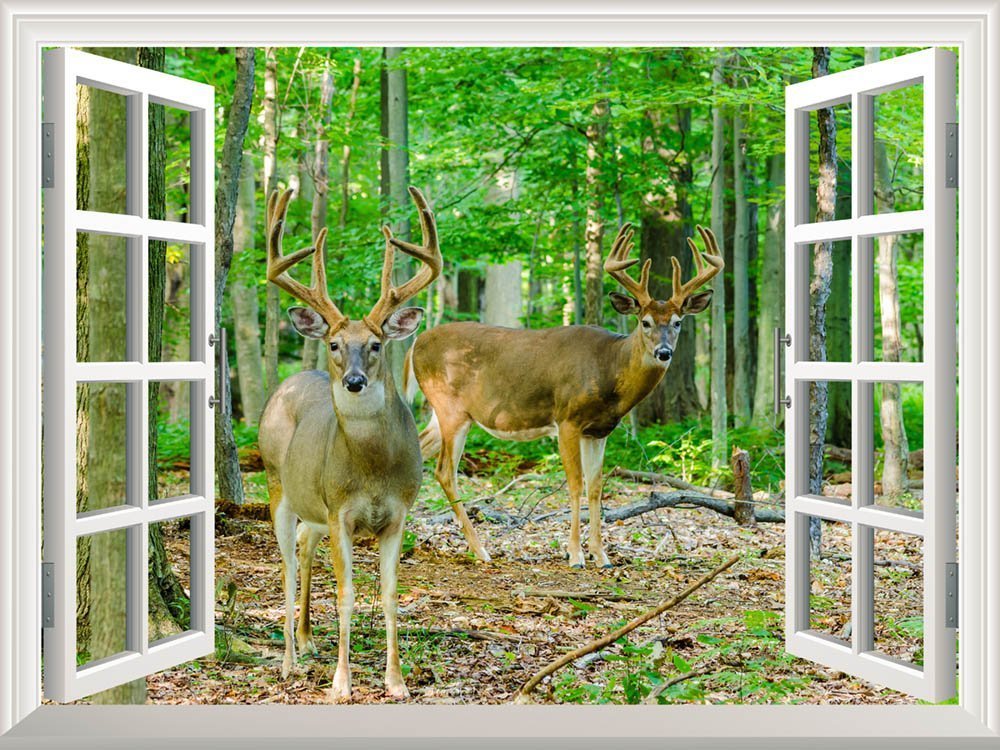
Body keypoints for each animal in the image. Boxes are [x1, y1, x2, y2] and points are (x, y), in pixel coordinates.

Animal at [258, 185, 441, 702]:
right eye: (336, 344)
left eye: (376, 343)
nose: (355, 381)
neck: (374, 470)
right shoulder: (340, 510)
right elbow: (346, 595)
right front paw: (342, 684)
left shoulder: (397, 512)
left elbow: (391, 595)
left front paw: (396, 681)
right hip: (276, 484)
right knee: (284, 564)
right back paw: (289, 661)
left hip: (314, 502)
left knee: (304, 544)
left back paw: (306, 639)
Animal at [404, 224, 723, 567]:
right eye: (645, 321)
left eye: (678, 322)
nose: (664, 352)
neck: (609, 369)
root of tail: (415, 343)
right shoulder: (567, 419)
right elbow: (575, 484)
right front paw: (575, 554)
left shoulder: (598, 431)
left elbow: (596, 487)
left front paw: (601, 554)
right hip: (451, 407)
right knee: (445, 471)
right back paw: (480, 550)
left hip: (440, 412)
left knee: (419, 450)